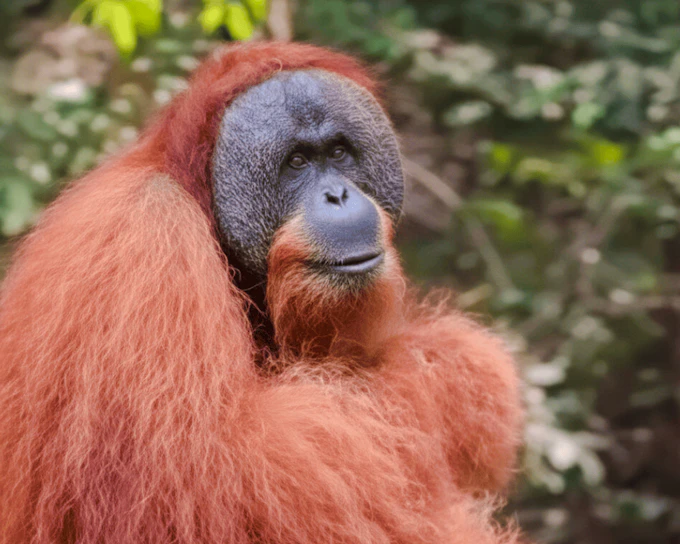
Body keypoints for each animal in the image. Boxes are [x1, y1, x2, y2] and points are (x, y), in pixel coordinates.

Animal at [0, 42, 524, 544]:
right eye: (297, 162)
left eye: (338, 153)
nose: (339, 196)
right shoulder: (143, 249)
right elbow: (223, 474)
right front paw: (453, 374)